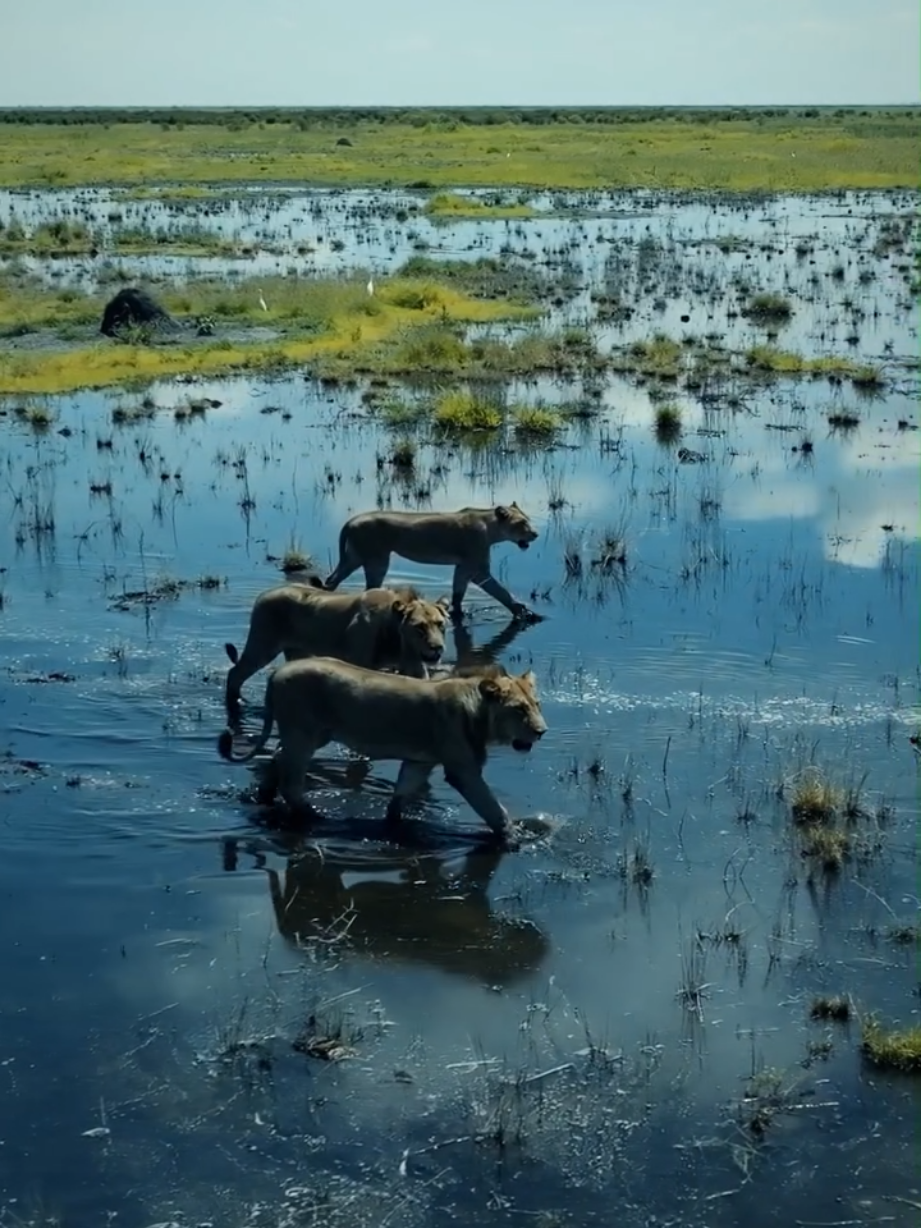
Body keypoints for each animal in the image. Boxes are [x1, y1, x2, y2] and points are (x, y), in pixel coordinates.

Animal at [217, 658, 548, 846]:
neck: (478, 710)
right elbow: (492, 807)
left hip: (313, 735)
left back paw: (264, 797)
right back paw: (315, 817)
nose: (542, 731)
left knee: (277, 756)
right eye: (519, 709)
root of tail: (276, 672)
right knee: (291, 781)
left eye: (536, 704)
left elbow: (401, 794)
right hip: (304, 734)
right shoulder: (462, 770)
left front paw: (394, 824)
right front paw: (513, 837)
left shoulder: (419, 761)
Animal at [224, 581, 450, 713]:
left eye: (440, 624)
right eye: (419, 627)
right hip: (263, 645)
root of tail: (265, 593)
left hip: (297, 652)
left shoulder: (416, 667)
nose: (437, 648)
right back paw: (237, 701)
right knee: (235, 674)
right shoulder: (360, 664)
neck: (396, 638)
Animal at [322, 503, 540, 621]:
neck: (490, 528)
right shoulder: (476, 568)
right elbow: (500, 591)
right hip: (377, 559)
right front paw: (522, 611)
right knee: (368, 587)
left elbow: (459, 594)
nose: (535, 534)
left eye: (528, 520)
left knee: (332, 580)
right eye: (522, 523)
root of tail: (351, 520)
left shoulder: (463, 567)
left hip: (354, 557)